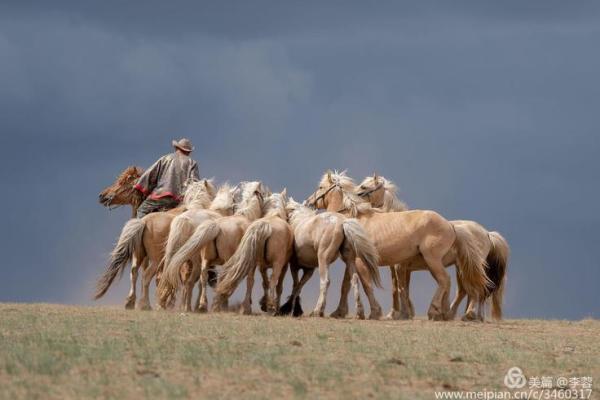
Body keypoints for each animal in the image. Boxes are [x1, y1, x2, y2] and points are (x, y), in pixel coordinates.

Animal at [94, 178, 216, 310]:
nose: (103, 196)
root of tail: (143, 222)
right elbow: (190, 280)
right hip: (156, 260)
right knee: (146, 277)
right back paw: (146, 304)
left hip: (139, 256)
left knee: (134, 272)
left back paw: (131, 302)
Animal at [308, 170, 490, 320]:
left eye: (320, 187)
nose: (309, 202)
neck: (353, 219)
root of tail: (451, 226)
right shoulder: (355, 261)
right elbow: (347, 285)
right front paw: (339, 311)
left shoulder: (366, 262)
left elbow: (369, 286)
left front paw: (376, 312)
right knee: (457, 286)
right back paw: (446, 313)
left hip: (433, 261)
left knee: (446, 281)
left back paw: (438, 311)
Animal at [356, 175, 510, 322]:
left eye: (364, 187)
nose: (355, 197)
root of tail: (487, 233)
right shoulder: (398, 268)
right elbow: (399, 288)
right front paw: (399, 313)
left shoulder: (401, 267)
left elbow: (401, 288)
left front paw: (401, 313)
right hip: (461, 267)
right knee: (467, 289)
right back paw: (465, 315)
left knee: (468, 288)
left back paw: (465, 314)